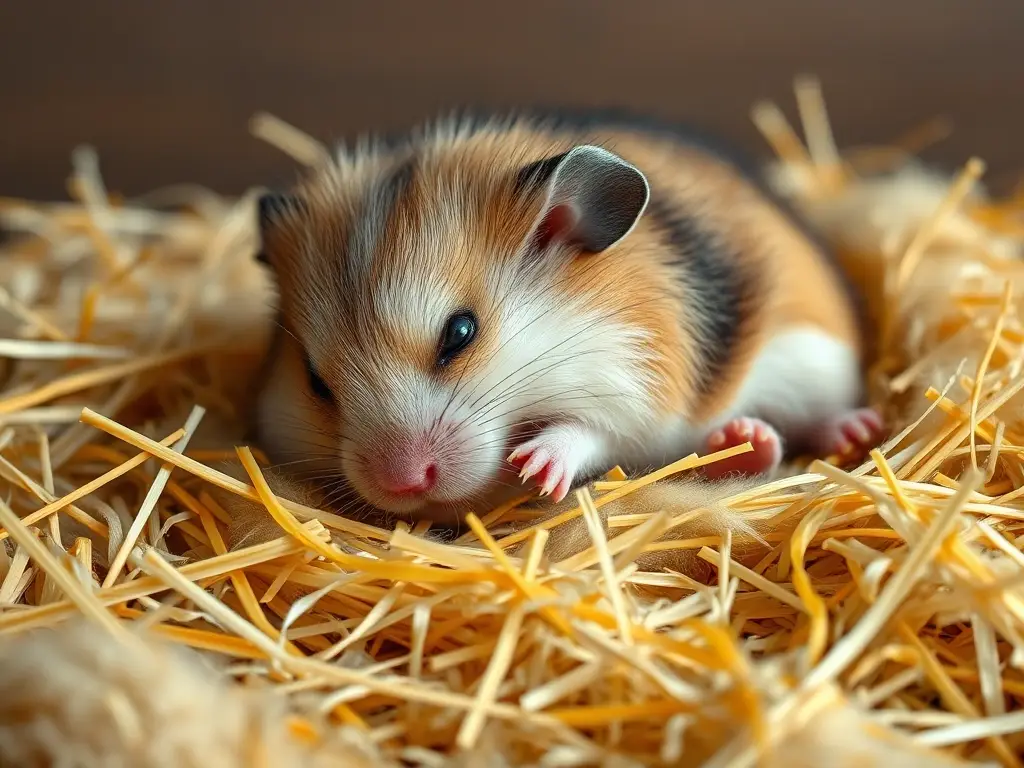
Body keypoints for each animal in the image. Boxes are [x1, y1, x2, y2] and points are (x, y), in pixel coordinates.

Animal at [251, 109, 884, 524]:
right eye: (315, 381)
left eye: (460, 333)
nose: (402, 484)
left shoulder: (636, 387)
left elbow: (585, 431)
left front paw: (535, 469)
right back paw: (742, 439)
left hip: (812, 366)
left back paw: (843, 432)